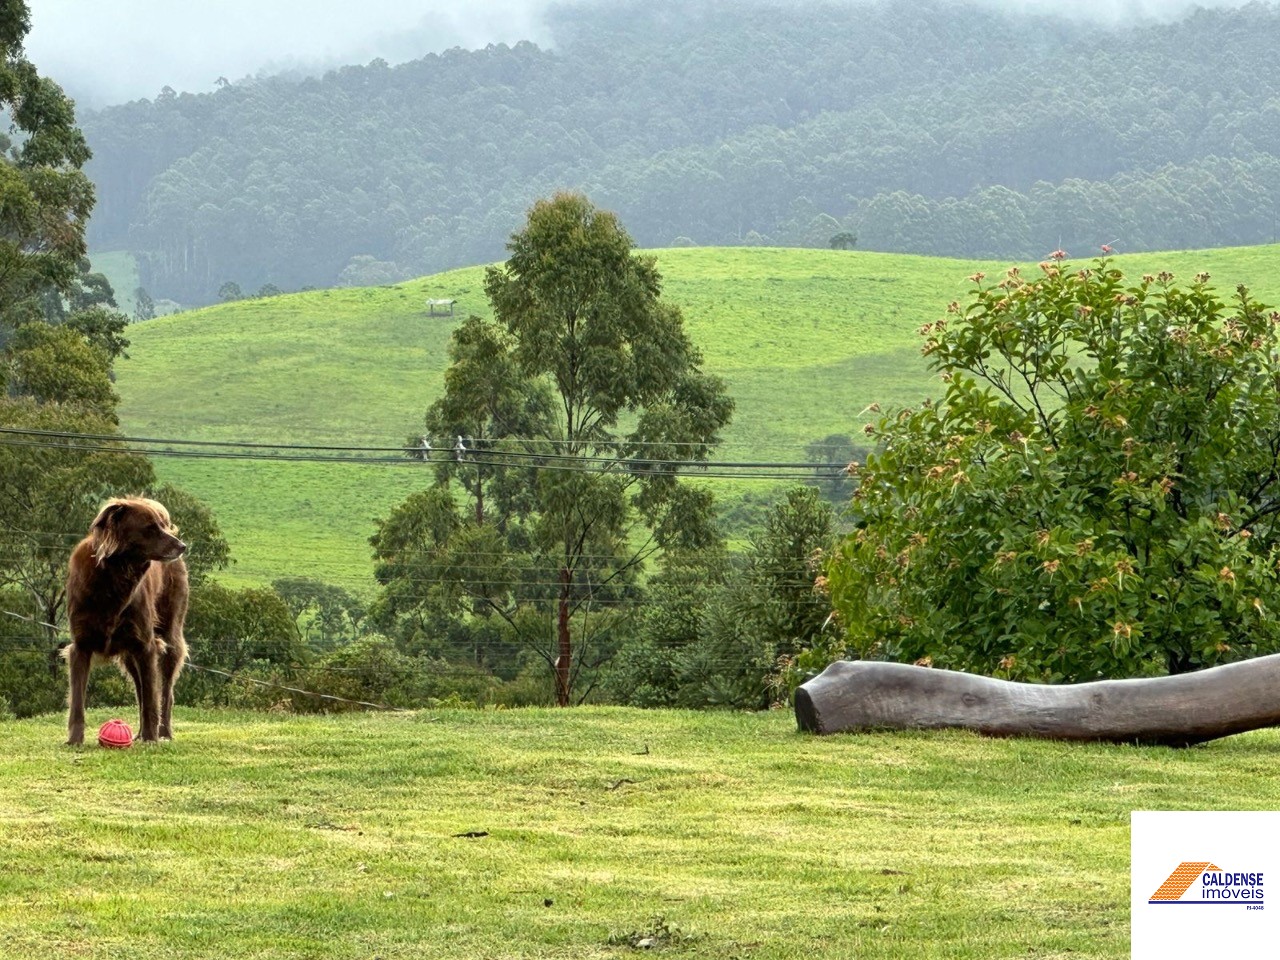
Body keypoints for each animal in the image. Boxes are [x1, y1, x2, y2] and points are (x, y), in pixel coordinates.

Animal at [65, 499, 189, 747]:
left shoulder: (146, 645)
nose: (182, 546)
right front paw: (74, 741)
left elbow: (152, 700)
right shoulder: (81, 646)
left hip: (169, 636)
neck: (112, 576)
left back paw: (163, 732)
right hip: (129, 654)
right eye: (150, 527)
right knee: (141, 689)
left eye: (162, 525)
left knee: (165, 692)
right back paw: (140, 734)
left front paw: (151, 739)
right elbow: (77, 702)